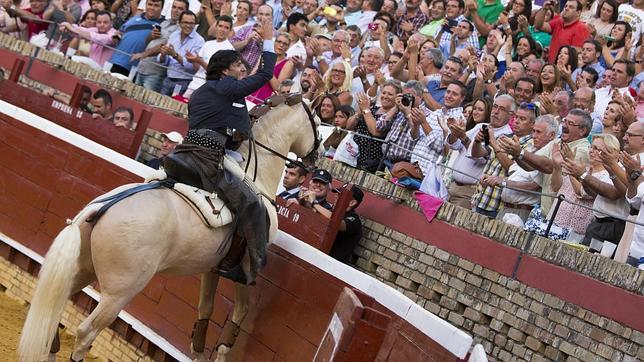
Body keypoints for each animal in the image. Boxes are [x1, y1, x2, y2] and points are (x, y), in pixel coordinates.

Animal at [18, 99, 320, 362]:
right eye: (317, 124)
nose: (315, 160)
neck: (253, 174)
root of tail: (97, 209)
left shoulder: (213, 266)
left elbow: (205, 308)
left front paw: (198, 353)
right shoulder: (244, 267)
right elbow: (240, 312)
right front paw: (221, 352)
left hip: (82, 271)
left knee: (52, 312)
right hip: (120, 291)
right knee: (85, 332)